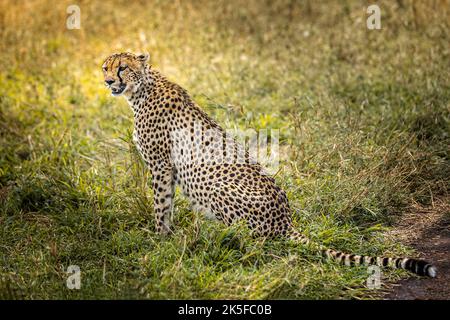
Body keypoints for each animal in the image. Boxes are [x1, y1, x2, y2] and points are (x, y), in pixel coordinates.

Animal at [101, 52, 436, 278]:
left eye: (123, 68)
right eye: (106, 67)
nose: (107, 81)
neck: (141, 89)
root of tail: (285, 220)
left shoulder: (160, 165)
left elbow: (161, 205)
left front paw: (159, 240)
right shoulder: (164, 167)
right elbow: (165, 204)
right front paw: (165, 239)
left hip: (217, 186)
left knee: (254, 240)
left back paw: (213, 237)